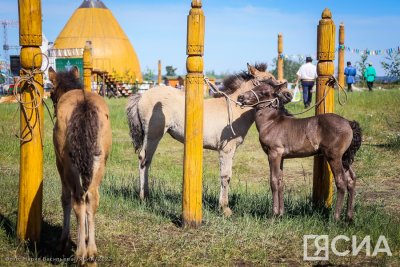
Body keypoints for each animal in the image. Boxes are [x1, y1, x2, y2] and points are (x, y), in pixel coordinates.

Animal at [50, 66, 112, 262]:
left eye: (51, 94)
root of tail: (84, 107)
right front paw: (83, 236)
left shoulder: (60, 164)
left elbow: (65, 199)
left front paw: (63, 242)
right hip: (99, 162)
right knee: (91, 197)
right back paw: (91, 250)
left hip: (69, 164)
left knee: (77, 199)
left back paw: (80, 253)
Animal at [238, 80, 362, 222]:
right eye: (255, 87)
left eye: (263, 92)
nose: (240, 97)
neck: (271, 123)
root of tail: (349, 123)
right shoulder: (281, 157)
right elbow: (280, 181)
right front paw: (281, 214)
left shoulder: (273, 153)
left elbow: (273, 181)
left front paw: (274, 215)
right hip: (344, 158)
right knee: (351, 179)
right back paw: (349, 217)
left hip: (334, 156)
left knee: (341, 181)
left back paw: (335, 218)